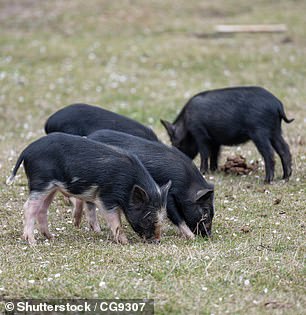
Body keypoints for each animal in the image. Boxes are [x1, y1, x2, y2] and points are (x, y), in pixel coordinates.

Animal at [7, 132, 171, 246]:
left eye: (162, 217)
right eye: (148, 217)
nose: (157, 241)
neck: (128, 184)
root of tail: (27, 150)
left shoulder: (93, 193)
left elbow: (91, 211)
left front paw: (97, 231)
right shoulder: (106, 196)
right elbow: (114, 219)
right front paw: (125, 242)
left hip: (51, 187)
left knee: (42, 209)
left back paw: (51, 237)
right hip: (41, 182)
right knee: (29, 207)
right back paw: (32, 242)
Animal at [86, 130, 215, 238]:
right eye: (205, 211)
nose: (209, 235)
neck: (187, 184)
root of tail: (89, 136)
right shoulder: (169, 193)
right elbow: (176, 216)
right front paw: (191, 237)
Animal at [161, 86, 292, 185]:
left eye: (176, 143)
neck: (186, 123)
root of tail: (278, 105)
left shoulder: (200, 133)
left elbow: (204, 153)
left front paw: (203, 172)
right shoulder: (215, 141)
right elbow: (214, 154)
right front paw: (213, 170)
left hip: (260, 132)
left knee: (269, 153)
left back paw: (266, 181)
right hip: (276, 131)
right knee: (284, 149)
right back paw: (285, 177)